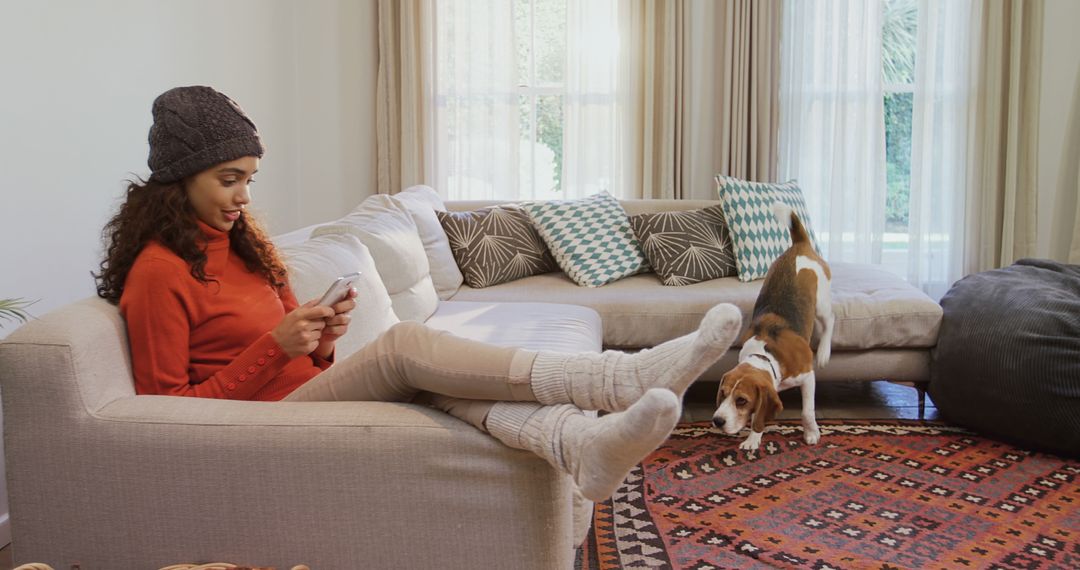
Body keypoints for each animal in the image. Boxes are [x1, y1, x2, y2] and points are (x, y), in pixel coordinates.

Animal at [717, 204, 833, 449]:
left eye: (741, 400)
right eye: (723, 393)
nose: (717, 420)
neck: (767, 356)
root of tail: (799, 246)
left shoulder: (808, 377)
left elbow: (807, 412)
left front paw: (811, 433)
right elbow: (757, 418)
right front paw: (754, 437)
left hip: (822, 303)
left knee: (830, 321)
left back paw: (824, 352)